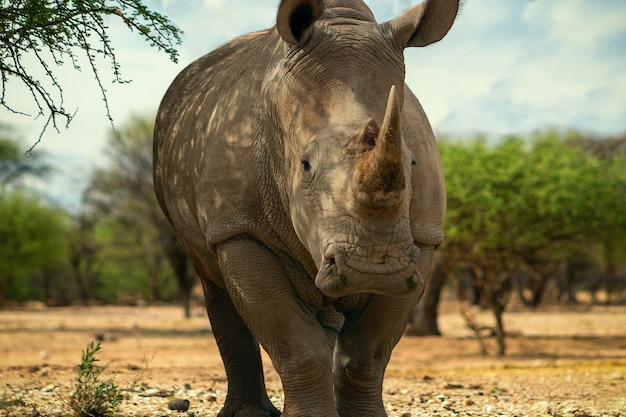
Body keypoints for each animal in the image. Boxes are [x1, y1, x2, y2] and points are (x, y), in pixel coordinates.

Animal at [155, 0, 458, 414]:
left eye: (412, 163)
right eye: (305, 165)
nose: (372, 270)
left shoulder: (422, 238)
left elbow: (366, 355)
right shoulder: (239, 227)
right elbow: (296, 346)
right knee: (212, 280)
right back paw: (247, 411)